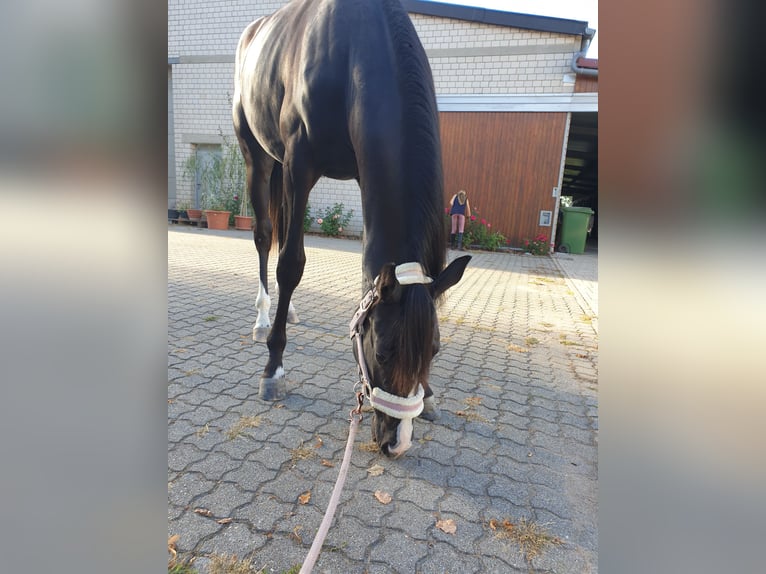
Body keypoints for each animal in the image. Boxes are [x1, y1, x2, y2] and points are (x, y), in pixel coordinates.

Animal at [234, 0, 474, 460]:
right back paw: (262, 319)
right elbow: (291, 264)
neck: (350, 51)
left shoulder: (362, 173)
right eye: (382, 349)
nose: (396, 443)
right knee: (265, 236)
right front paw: (273, 368)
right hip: (258, 156)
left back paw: (287, 311)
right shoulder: (299, 164)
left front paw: (431, 394)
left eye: (435, 348)